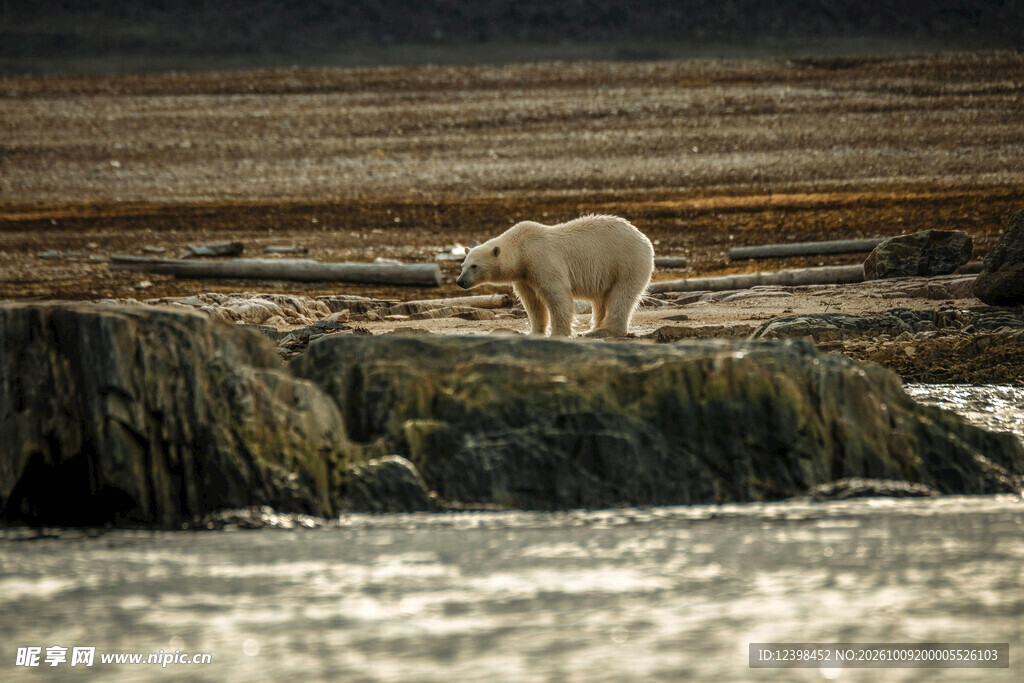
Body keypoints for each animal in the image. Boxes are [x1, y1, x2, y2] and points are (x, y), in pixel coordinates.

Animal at [456, 214, 655, 337]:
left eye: (474, 266)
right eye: (462, 265)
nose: (460, 281)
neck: (521, 249)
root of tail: (644, 238)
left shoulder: (542, 260)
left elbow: (556, 294)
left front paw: (559, 332)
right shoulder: (524, 275)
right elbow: (532, 301)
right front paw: (534, 332)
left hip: (626, 262)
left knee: (621, 294)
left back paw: (602, 331)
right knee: (601, 299)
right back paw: (594, 328)